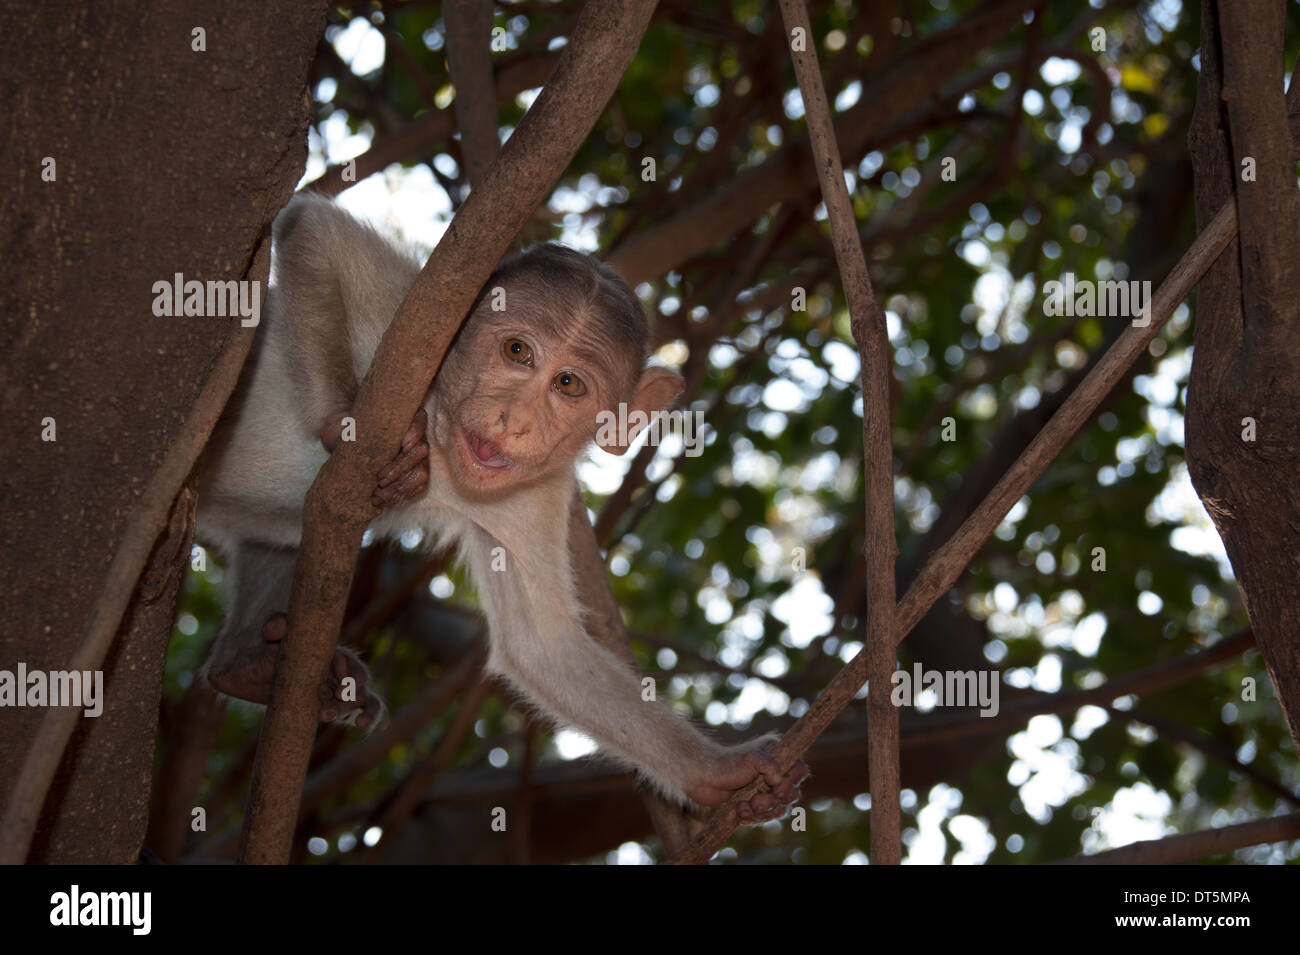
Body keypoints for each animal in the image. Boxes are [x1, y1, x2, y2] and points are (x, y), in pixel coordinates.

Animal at [193, 196, 806, 821]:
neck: (444, 447)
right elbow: (313, 227)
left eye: (568, 384)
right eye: (517, 352)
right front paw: (341, 423)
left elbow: (543, 649)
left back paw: (246, 665)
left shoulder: (538, 490)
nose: (514, 419)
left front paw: (720, 771)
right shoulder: (411, 333)